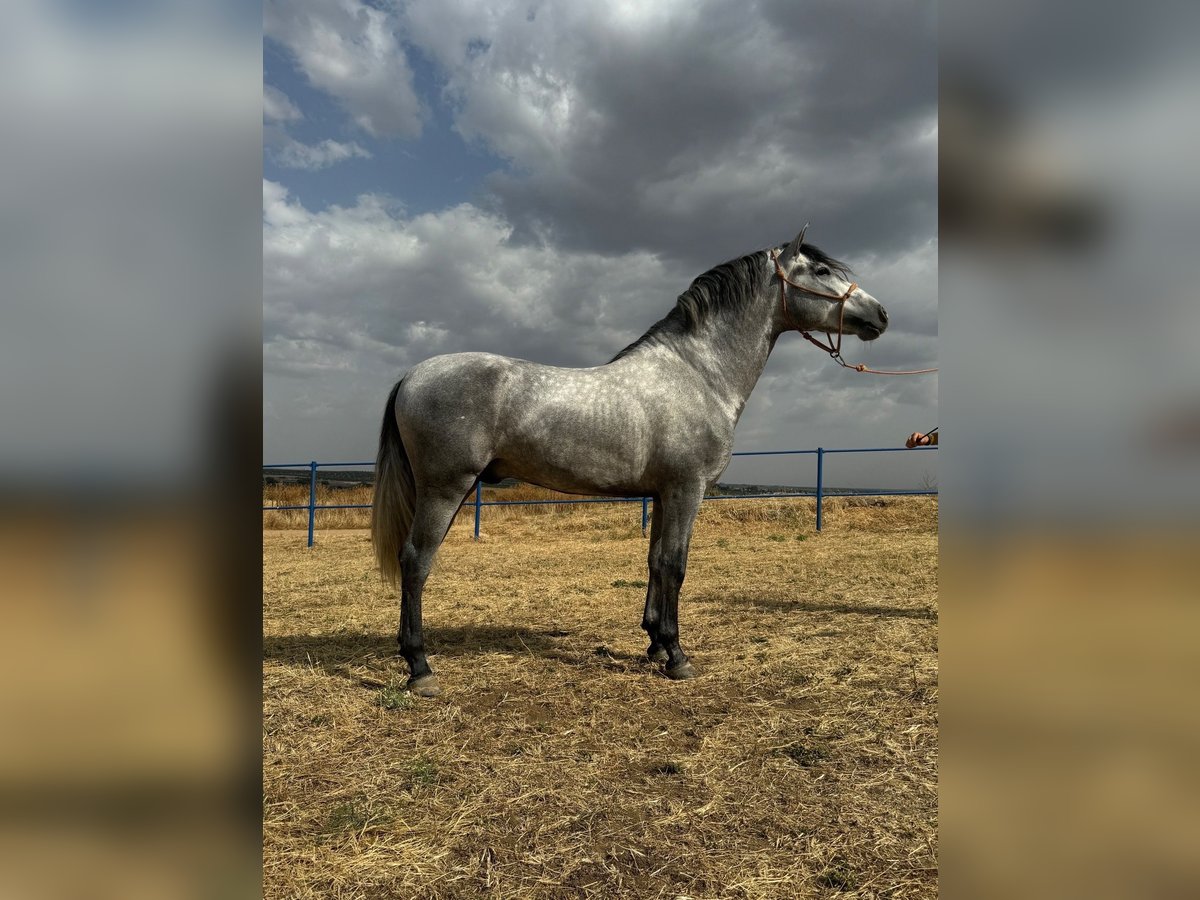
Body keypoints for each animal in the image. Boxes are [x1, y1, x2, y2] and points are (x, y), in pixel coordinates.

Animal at [374, 230, 892, 696]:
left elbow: (655, 561)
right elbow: (676, 565)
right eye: (820, 271)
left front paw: (655, 644)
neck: (698, 375)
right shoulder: (687, 489)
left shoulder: (663, 494)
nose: (881, 314)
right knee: (416, 560)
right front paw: (677, 656)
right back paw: (420, 669)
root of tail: (411, 375)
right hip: (445, 488)